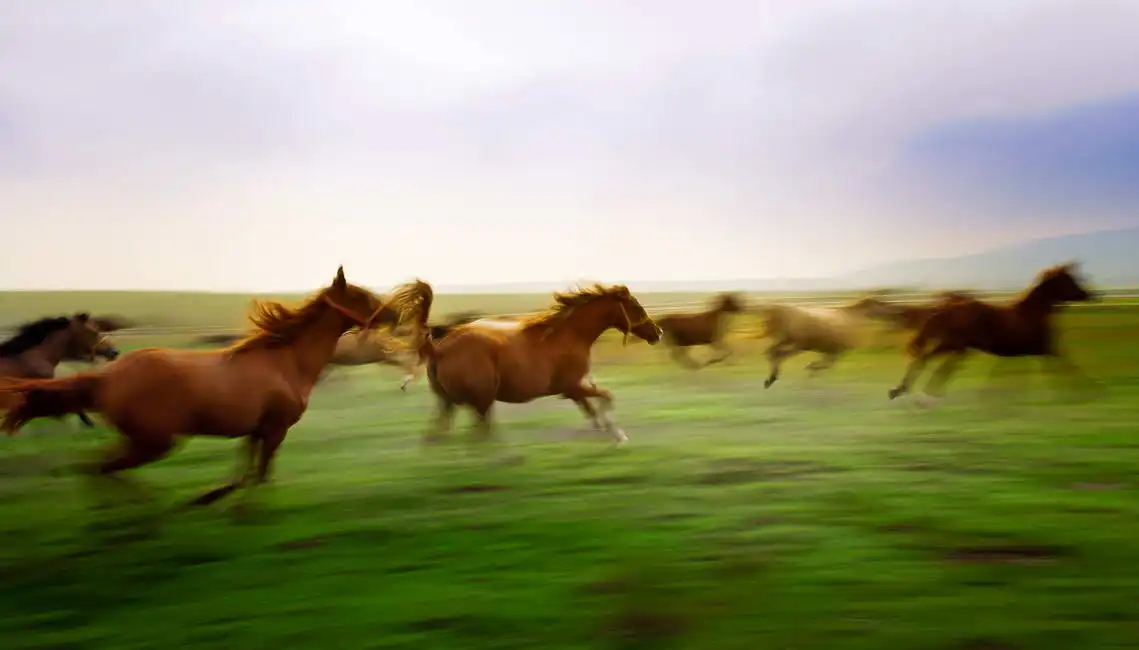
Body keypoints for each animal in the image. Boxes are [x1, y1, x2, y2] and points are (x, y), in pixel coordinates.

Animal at [0, 267, 432, 509]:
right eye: (360, 296)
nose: (394, 316)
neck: (287, 361)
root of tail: (110, 376)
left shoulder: (256, 431)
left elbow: (246, 473)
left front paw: (212, 497)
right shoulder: (275, 429)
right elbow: (256, 476)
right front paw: (223, 503)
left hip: (145, 440)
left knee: (95, 467)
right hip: (155, 441)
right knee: (100, 468)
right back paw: (142, 508)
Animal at [414, 283, 663, 446]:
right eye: (636, 307)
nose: (658, 333)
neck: (568, 336)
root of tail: (439, 348)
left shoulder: (573, 390)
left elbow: (591, 409)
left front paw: (605, 432)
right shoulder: (572, 386)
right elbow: (606, 398)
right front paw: (618, 435)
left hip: (451, 401)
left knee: (442, 432)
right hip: (480, 398)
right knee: (479, 432)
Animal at [887, 263, 1096, 401]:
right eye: (1068, 280)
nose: (1089, 295)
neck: (1031, 314)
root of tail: (949, 306)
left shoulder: (1033, 352)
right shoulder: (1045, 350)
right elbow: (1070, 367)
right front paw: (1089, 390)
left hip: (957, 347)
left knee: (937, 364)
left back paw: (919, 392)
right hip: (951, 344)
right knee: (927, 360)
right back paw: (905, 391)